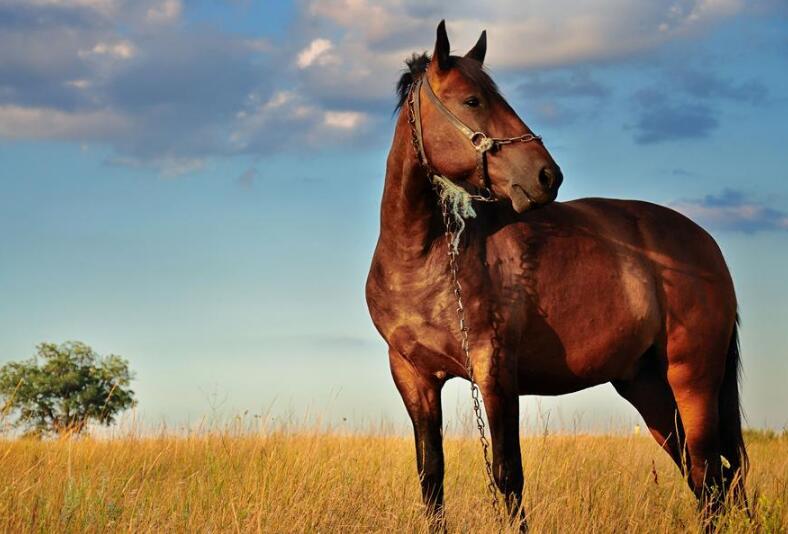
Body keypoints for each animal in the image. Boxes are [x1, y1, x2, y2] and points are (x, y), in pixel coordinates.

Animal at [366, 19, 748, 532]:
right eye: (473, 101)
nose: (548, 176)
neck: (423, 258)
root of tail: (707, 245)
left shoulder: (495, 371)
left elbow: (508, 476)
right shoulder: (414, 376)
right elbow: (432, 477)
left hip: (693, 380)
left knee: (709, 476)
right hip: (647, 386)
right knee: (702, 475)